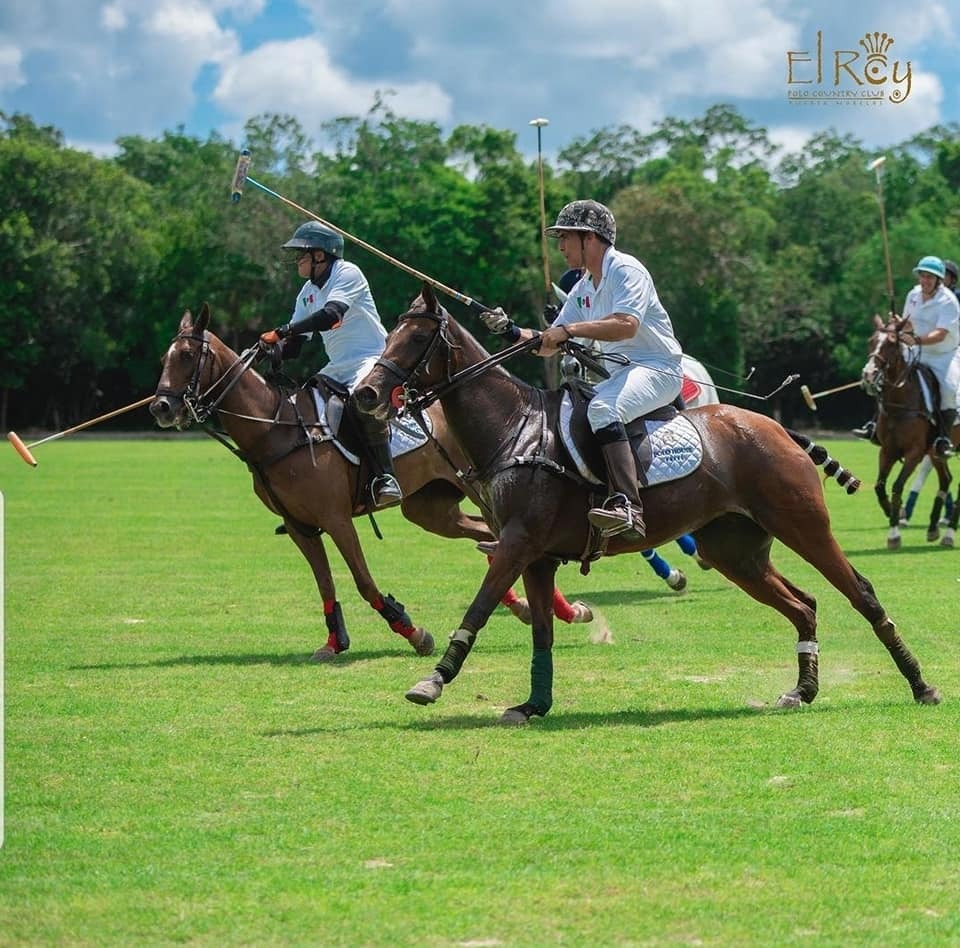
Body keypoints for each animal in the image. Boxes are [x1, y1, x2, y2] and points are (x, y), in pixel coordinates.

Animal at [149, 304, 502, 660]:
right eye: (164, 358)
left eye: (188, 355)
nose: (160, 407)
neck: (274, 429)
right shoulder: (299, 526)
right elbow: (325, 584)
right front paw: (334, 643)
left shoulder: (336, 519)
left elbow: (363, 581)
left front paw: (414, 633)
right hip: (429, 508)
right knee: (484, 534)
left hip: (476, 490)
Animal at [350, 286, 936, 724]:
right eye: (393, 332)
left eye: (416, 337)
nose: (366, 395)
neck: (515, 430)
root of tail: (778, 428)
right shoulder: (536, 556)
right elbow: (541, 631)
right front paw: (534, 703)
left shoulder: (516, 543)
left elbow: (477, 608)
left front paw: (432, 681)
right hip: (736, 551)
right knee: (804, 603)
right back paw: (803, 689)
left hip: (803, 524)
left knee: (861, 593)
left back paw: (920, 684)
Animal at [860, 316, 956, 548]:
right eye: (871, 341)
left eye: (891, 344)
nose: (868, 375)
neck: (900, 402)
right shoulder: (887, 450)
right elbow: (879, 486)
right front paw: (893, 513)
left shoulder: (914, 453)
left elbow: (896, 486)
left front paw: (894, 533)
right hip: (936, 452)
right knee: (946, 479)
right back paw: (933, 529)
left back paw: (949, 534)